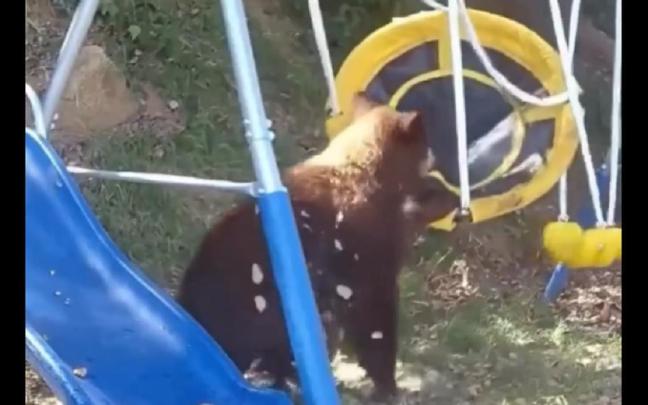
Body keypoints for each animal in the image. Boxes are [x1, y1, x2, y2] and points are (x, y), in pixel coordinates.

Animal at [176, 93, 458, 398]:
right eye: (429, 148)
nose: (450, 187)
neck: (359, 172)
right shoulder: (372, 286)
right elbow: (378, 343)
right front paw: (388, 388)